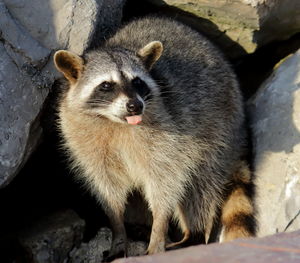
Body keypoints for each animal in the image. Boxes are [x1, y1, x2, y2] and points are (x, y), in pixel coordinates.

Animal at [53, 16, 255, 260]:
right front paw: (118, 231)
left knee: (201, 186)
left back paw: (194, 234)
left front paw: (158, 230)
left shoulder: (171, 136)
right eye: (106, 85)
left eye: (138, 82)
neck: (115, 122)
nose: (135, 105)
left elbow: (166, 182)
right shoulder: (83, 141)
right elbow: (108, 189)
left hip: (220, 131)